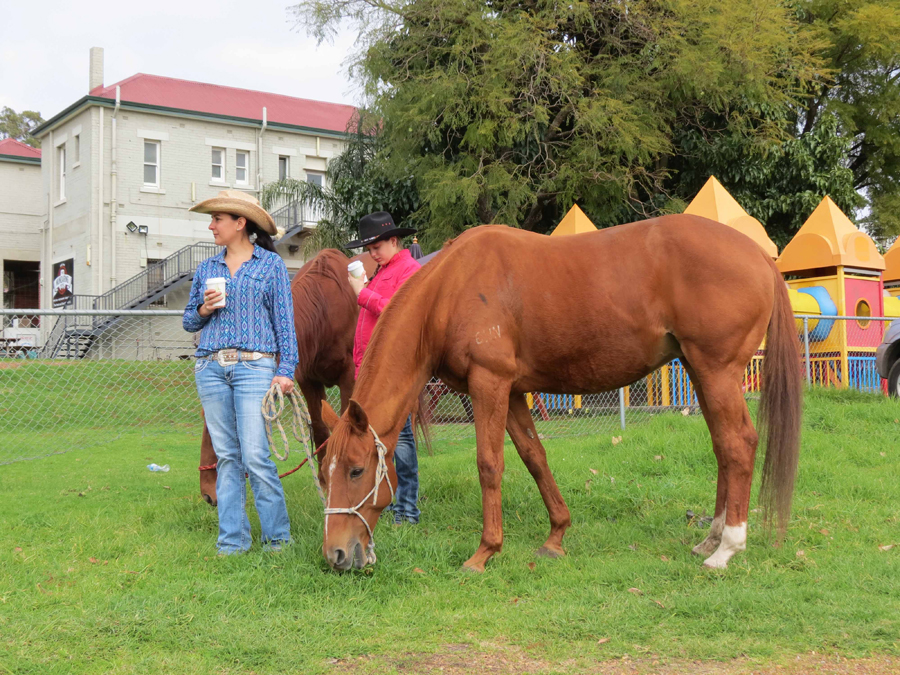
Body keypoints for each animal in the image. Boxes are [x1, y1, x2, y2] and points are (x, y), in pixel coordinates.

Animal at [199, 251, 374, 504]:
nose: (207, 493)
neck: (325, 309)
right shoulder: (308, 380)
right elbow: (320, 428)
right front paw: (324, 482)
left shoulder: (349, 378)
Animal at [318, 217, 800, 572]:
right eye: (325, 474)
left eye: (357, 471)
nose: (336, 555)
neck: (450, 288)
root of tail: (758, 253)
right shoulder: (512, 392)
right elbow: (535, 457)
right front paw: (556, 536)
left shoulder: (489, 384)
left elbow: (489, 465)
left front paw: (484, 552)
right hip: (701, 375)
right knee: (722, 448)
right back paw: (710, 537)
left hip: (717, 374)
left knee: (738, 445)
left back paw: (727, 549)